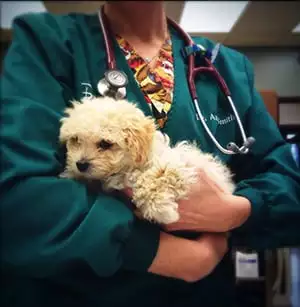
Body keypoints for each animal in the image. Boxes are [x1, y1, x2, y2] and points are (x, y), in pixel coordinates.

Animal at [59, 97, 236, 225]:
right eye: (75, 140)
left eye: (105, 143)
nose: (80, 165)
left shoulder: (182, 166)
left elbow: (159, 177)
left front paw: (161, 210)